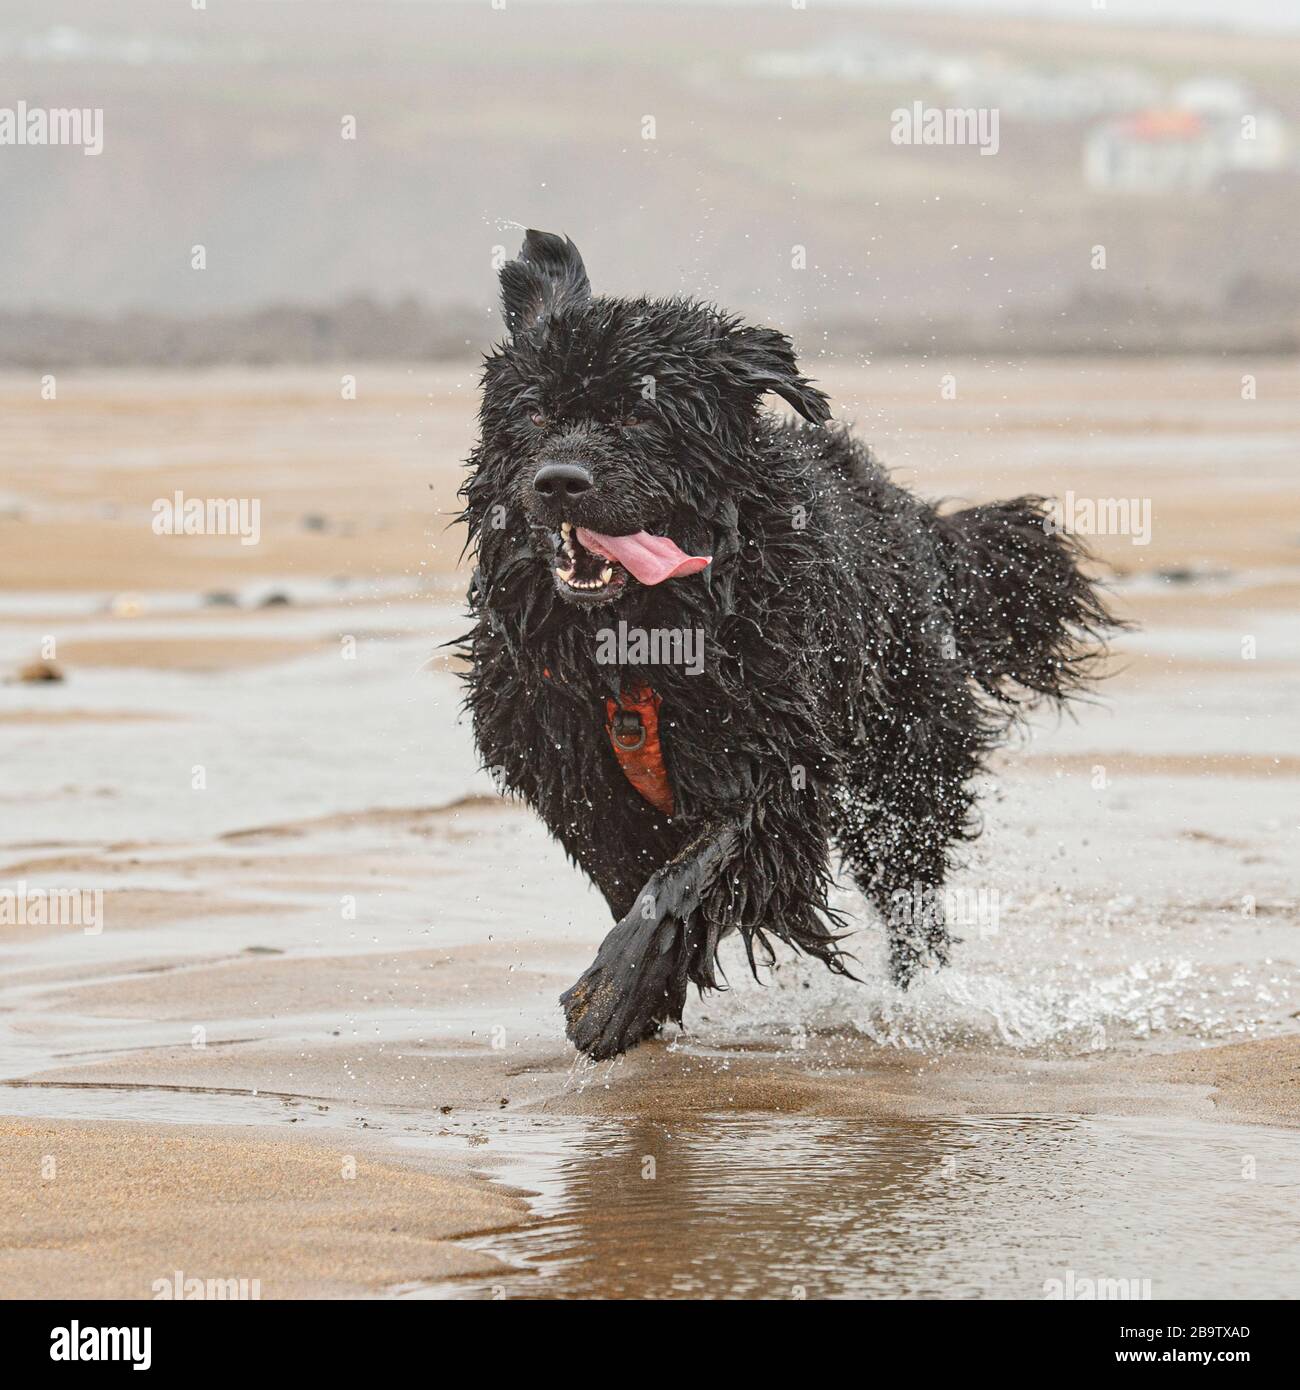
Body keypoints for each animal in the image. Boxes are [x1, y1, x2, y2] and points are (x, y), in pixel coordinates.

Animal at [458, 230, 1117, 1050]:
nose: (558, 481)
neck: (640, 644)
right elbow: (631, 878)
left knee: (914, 898)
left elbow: (689, 875)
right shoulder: (580, 785)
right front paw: (648, 999)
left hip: (904, 761)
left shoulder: (781, 764)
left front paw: (614, 993)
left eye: (643, 415)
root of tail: (912, 515)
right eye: (537, 413)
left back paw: (922, 999)